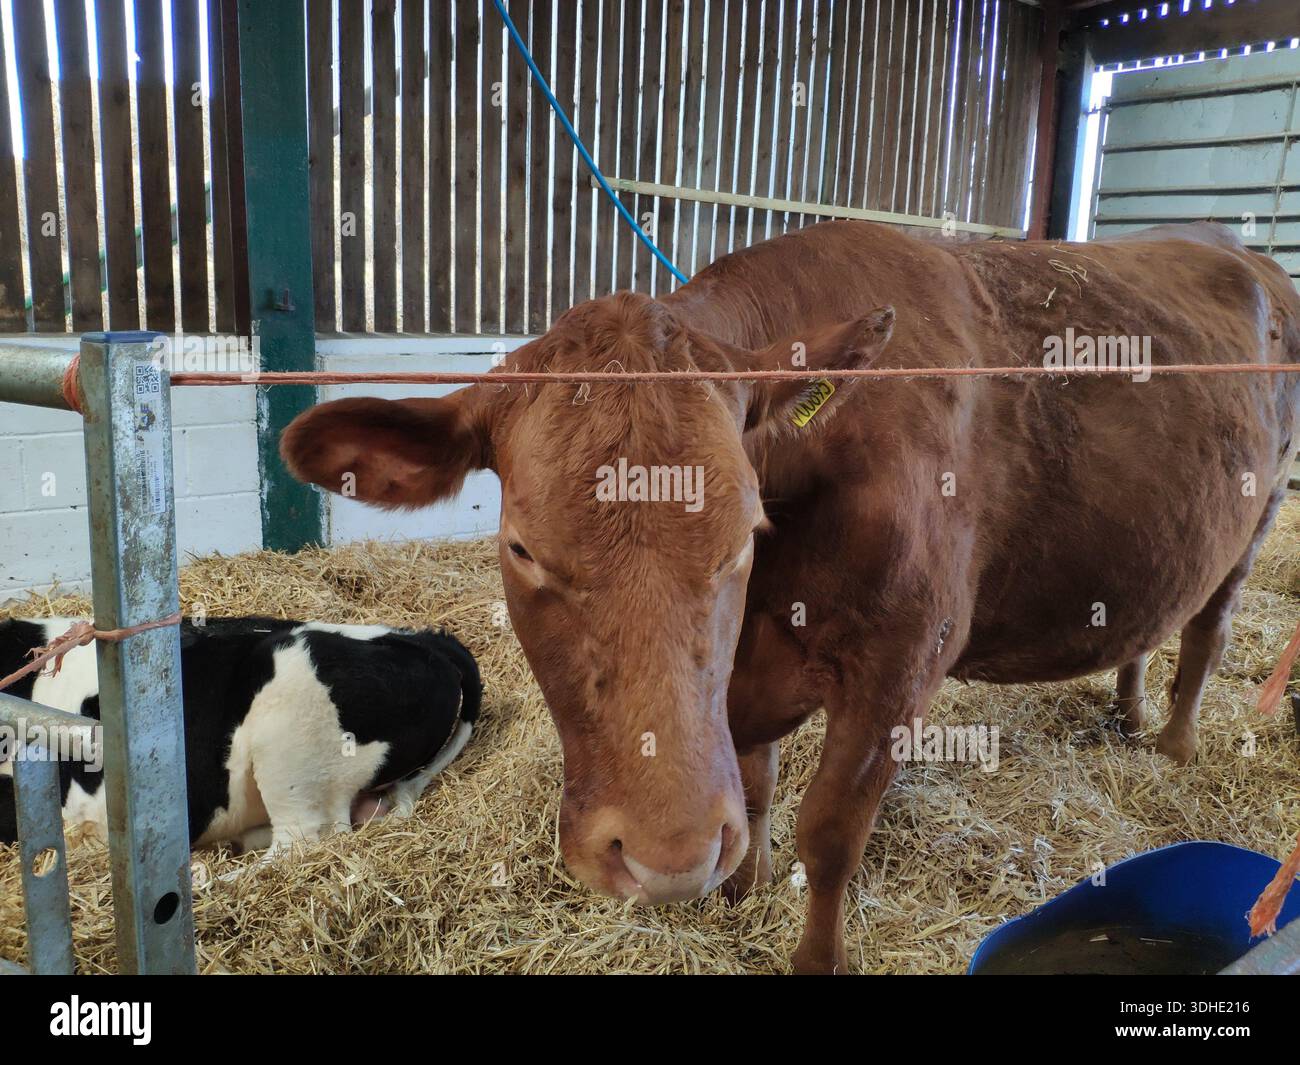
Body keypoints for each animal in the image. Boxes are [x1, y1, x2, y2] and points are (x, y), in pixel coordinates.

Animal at [280, 219, 1300, 973]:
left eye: (744, 532)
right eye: (522, 545)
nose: (666, 859)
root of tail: (1237, 249)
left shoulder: (901, 666)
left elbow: (831, 831)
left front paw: (810, 951)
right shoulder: (740, 682)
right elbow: (758, 780)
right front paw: (740, 886)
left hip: (1259, 513)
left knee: (1210, 630)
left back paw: (1175, 743)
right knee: (1153, 621)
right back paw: (1129, 712)